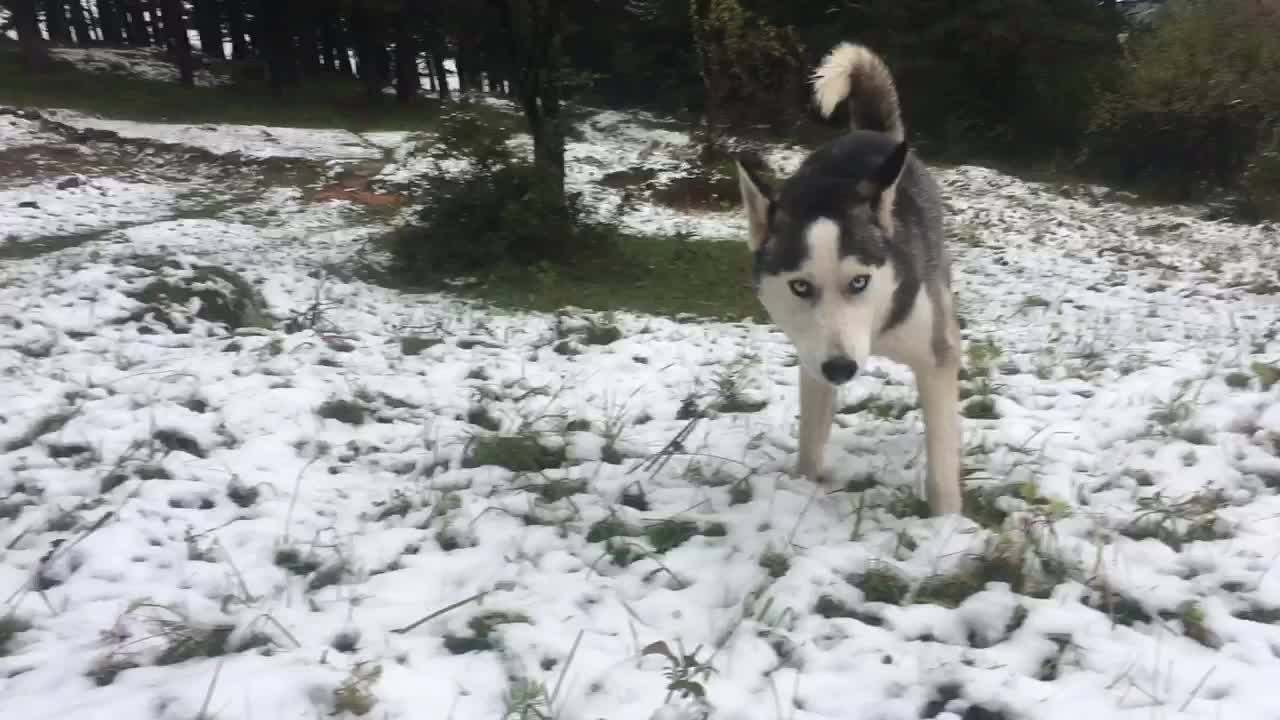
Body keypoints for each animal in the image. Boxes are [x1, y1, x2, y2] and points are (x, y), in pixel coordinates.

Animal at [742, 41, 962, 512]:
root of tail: (873, 134)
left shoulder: (935, 357)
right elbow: (810, 442)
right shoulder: (812, 358)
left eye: (859, 281)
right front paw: (803, 486)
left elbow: (942, 469)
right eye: (800, 286)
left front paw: (948, 522)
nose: (842, 368)